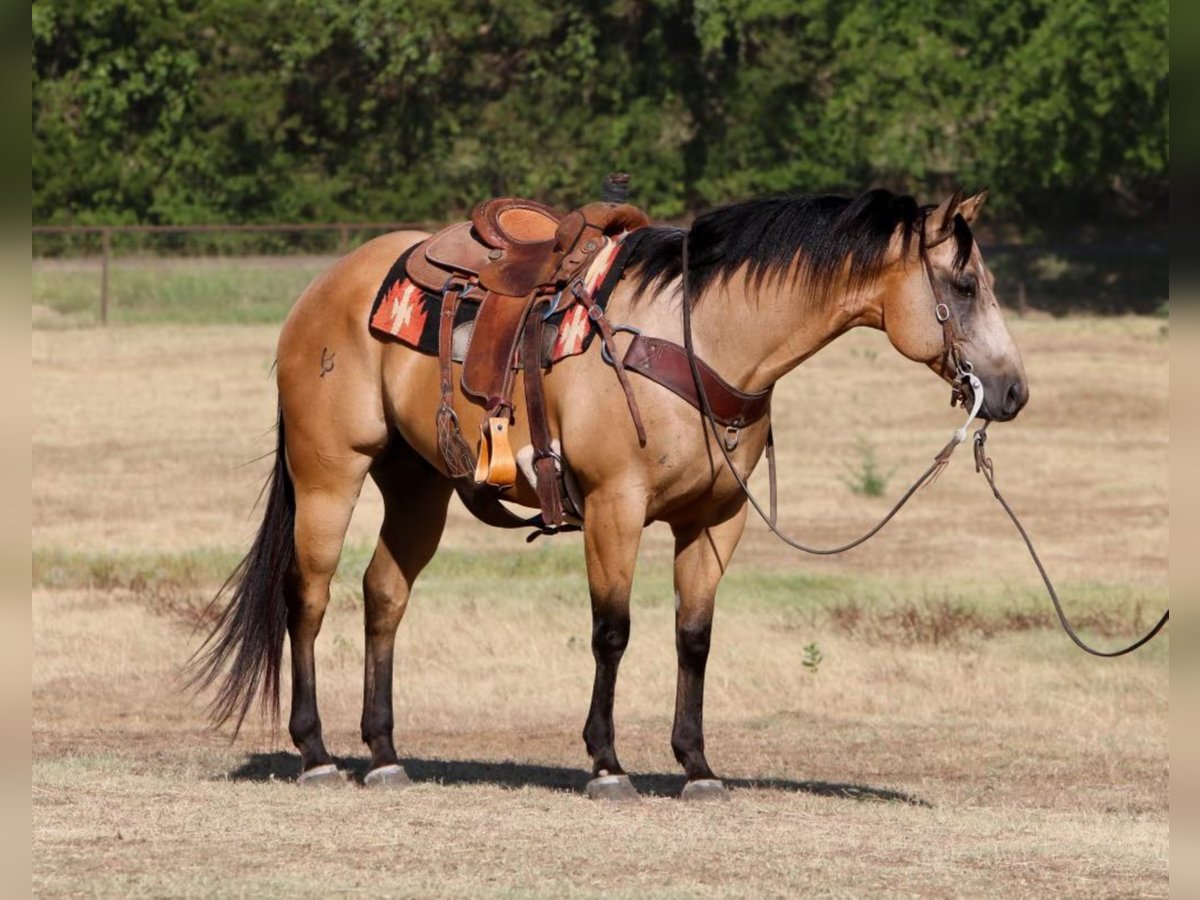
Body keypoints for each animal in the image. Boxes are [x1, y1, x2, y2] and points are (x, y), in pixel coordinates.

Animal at [192, 187, 1027, 801]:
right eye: (964, 284)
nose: (1013, 390)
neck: (697, 338)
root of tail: (321, 291)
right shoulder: (612, 507)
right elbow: (613, 631)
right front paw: (607, 764)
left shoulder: (716, 521)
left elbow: (694, 636)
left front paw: (697, 767)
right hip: (329, 473)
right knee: (308, 598)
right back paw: (317, 753)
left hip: (417, 483)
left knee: (384, 596)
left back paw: (387, 753)